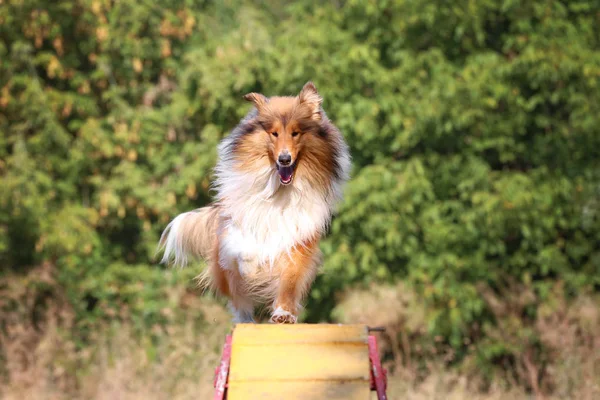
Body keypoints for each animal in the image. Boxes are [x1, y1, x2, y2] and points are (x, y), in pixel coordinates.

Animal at [158, 83, 352, 324]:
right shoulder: (239, 228)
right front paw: (250, 267)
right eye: (274, 133)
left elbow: (290, 280)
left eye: (296, 133)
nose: (284, 159)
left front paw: (284, 313)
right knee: (238, 300)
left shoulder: (298, 237)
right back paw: (245, 319)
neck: (279, 190)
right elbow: (244, 251)